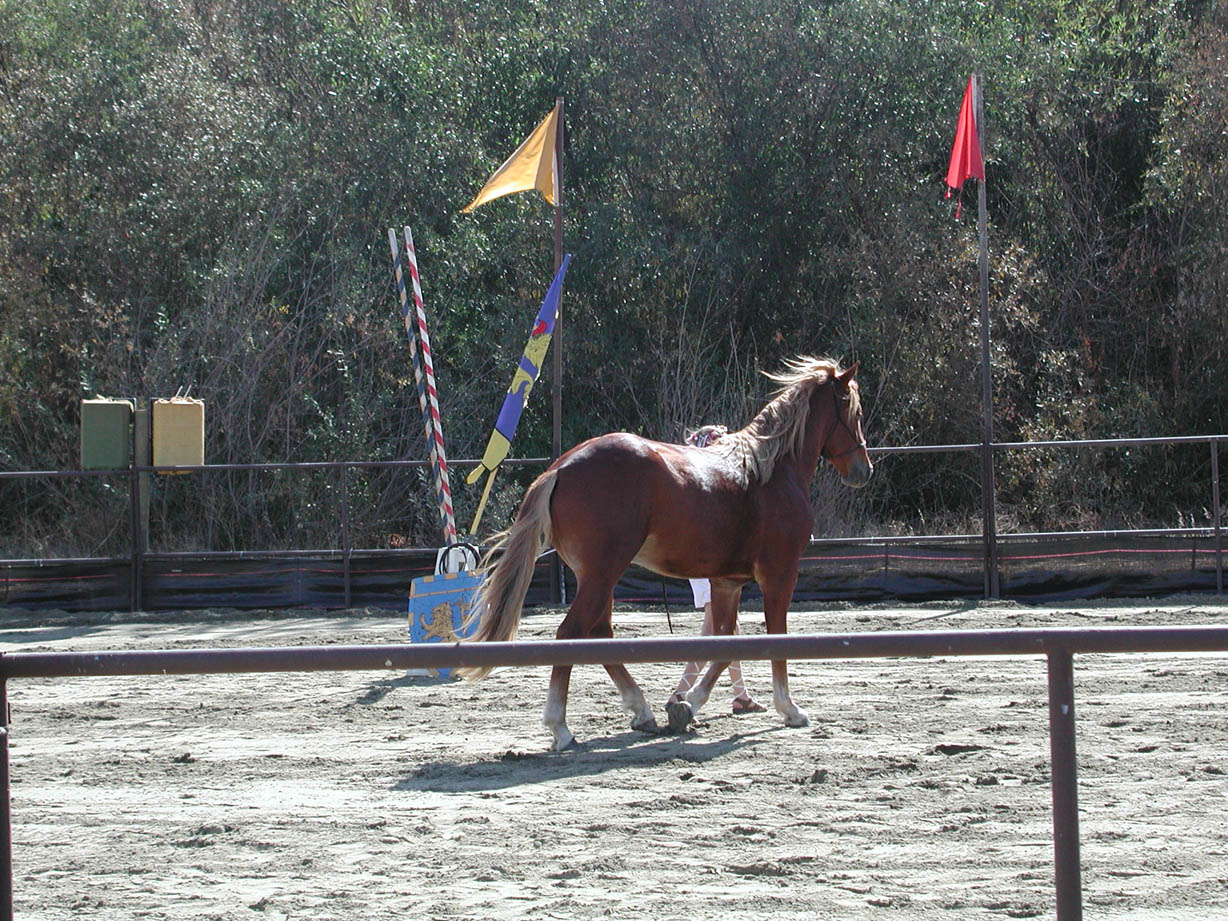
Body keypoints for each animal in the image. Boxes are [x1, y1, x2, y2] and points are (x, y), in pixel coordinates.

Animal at [458, 356, 873, 751]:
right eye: (854, 410)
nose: (863, 470)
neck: (769, 470)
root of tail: (560, 468)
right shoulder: (779, 574)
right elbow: (773, 639)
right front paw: (789, 709)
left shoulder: (727, 583)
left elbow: (724, 645)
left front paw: (688, 704)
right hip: (603, 573)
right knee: (571, 633)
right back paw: (560, 727)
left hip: (599, 577)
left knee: (599, 633)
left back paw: (642, 711)